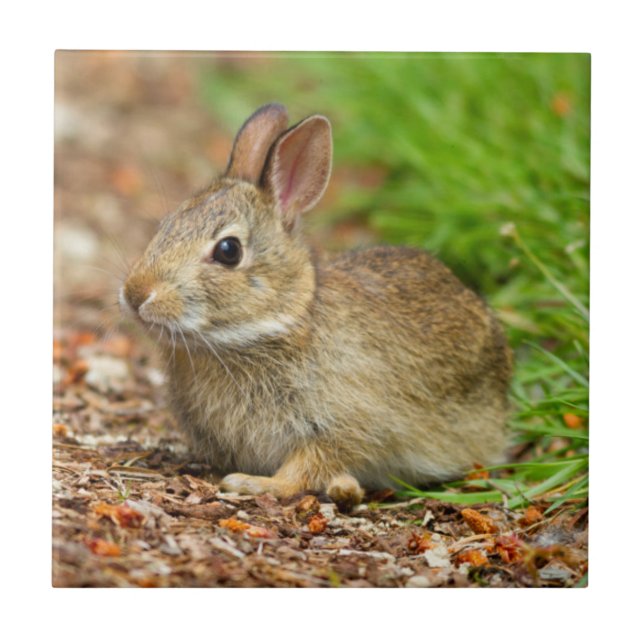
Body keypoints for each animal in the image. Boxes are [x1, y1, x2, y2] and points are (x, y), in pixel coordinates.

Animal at [120, 103, 512, 508]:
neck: (275, 324)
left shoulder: (346, 425)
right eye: (166, 225)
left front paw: (253, 484)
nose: (136, 294)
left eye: (228, 251)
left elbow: (306, 464)